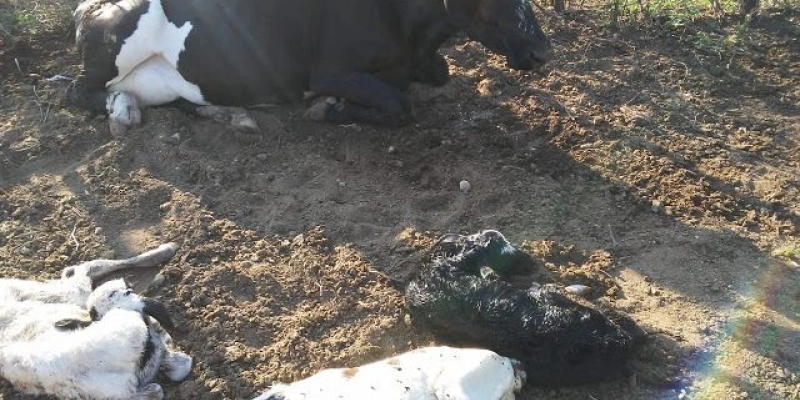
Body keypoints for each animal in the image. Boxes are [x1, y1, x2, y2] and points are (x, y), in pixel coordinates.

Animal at [69, 0, 554, 134]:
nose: (543, 51)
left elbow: (441, 72)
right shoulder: (330, 69)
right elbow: (399, 105)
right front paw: (328, 108)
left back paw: (229, 113)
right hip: (119, 39)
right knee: (79, 91)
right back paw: (121, 113)